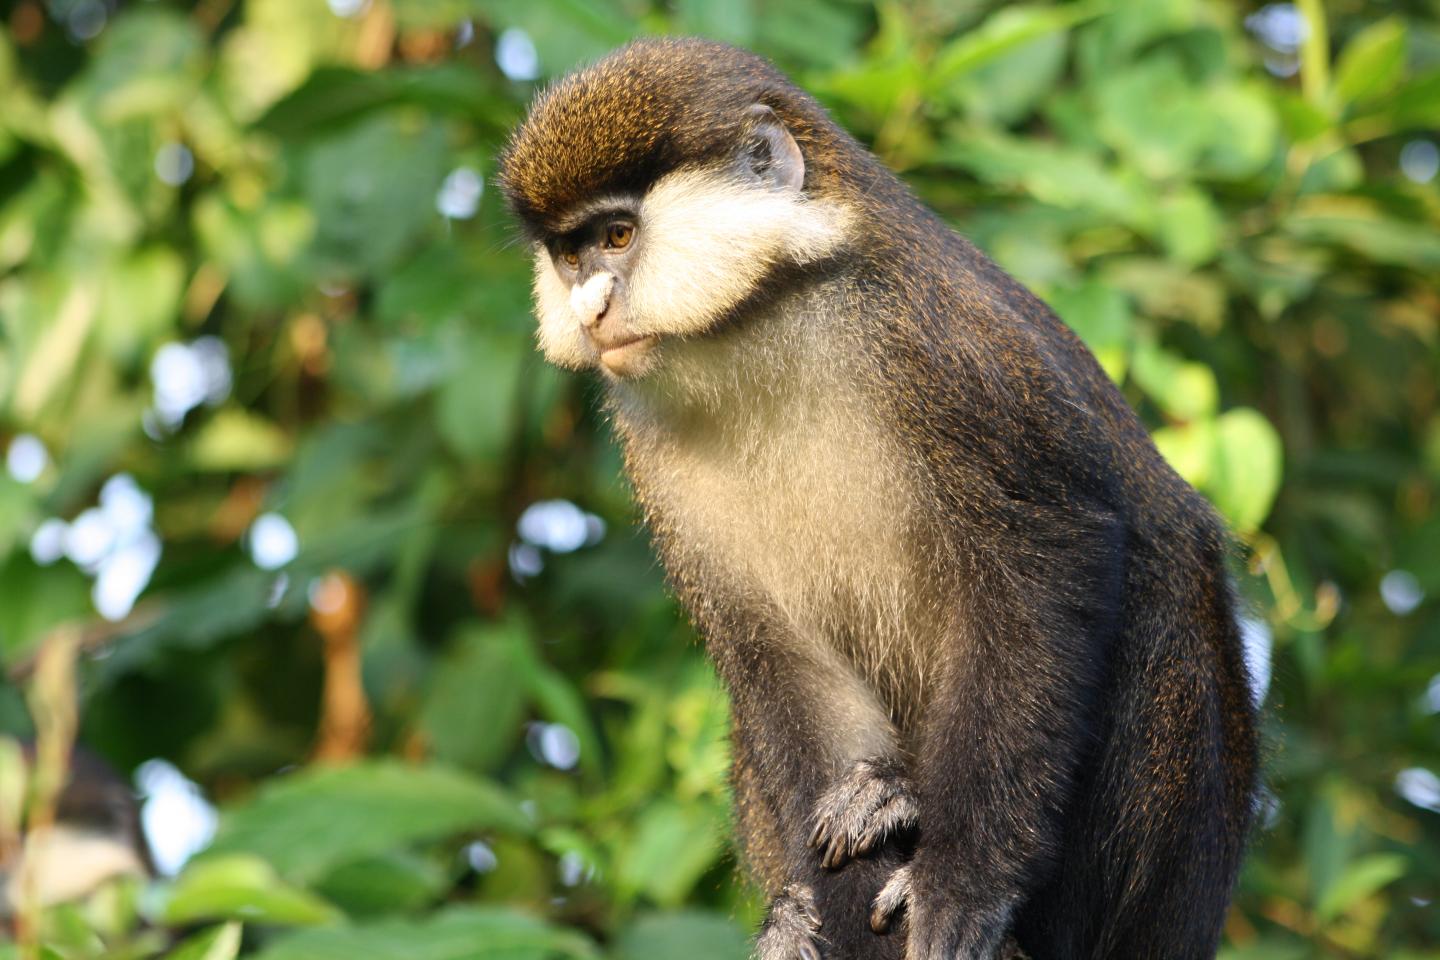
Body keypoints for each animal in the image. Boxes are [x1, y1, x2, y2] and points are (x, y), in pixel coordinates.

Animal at [498, 38, 1258, 960]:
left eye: (617, 235)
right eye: (570, 256)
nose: (590, 307)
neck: (765, 324)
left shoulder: (944, 346)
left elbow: (1047, 562)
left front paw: (962, 885)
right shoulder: (651, 451)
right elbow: (778, 661)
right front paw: (825, 896)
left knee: (1163, 593)